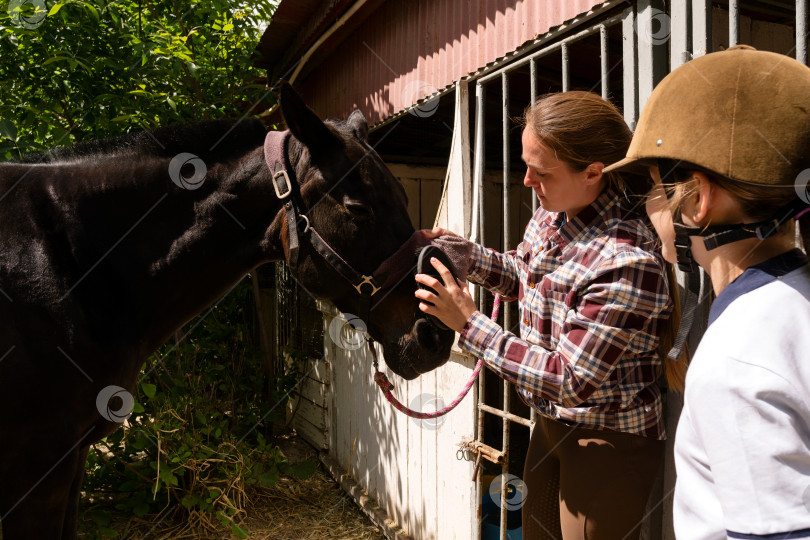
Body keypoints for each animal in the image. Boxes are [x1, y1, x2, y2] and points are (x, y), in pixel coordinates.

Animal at [0, 83, 454, 536]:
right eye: (357, 207)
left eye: (402, 197)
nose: (436, 334)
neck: (71, 263)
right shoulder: (41, 466)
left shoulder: (72, 458)